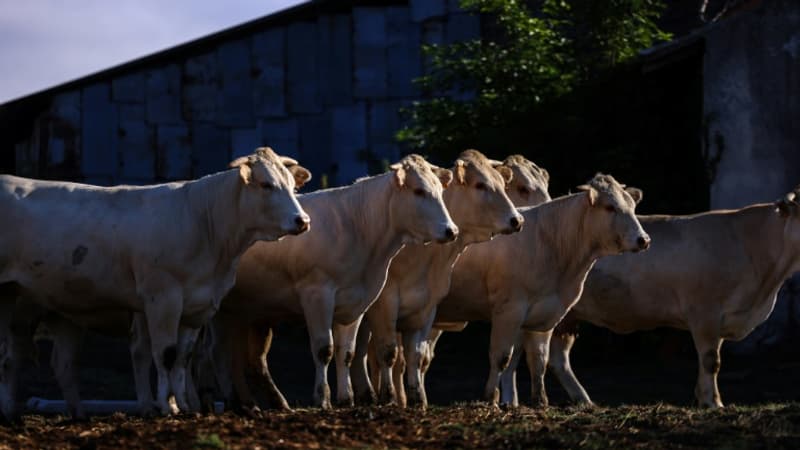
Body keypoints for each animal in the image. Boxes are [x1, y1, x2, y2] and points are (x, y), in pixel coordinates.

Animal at [0, 148, 310, 418]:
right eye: (266, 185)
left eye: (292, 186)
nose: (303, 220)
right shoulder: (163, 297)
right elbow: (165, 353)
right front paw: (165, 406)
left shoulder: (197, 307)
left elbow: (183, 357)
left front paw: (184, 406)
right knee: (12, 358)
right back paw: (9, 410)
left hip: (59, 308)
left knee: (51, 362)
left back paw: (71, 414)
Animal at [208, 156, 456, 412]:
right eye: (419, 191)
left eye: (439, 190)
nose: (451, 230)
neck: (359, 229)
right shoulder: (317, 295)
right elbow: (323, 349)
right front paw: (322, 398)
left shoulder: (356, 302)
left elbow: (346, 352)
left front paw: (346, 398)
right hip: (222, 310)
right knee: (220, 354)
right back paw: (233, 402)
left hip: (247, 312)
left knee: (240, 356)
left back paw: (258, 403)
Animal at [432, 175, 648, 404]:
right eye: (609, 207)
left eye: (632, 206)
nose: (644, 239)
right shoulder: (509, 310)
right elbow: (501, 357)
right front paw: (491, 398)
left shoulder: (545, 313)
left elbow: (539, 359)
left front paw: (540, 401)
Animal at [506, 186, 800, 408]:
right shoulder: (704, 312)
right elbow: (711, 361)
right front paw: (713, 402)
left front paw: (701, 398)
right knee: (527, 351)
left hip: (568, 317)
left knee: (558, 359)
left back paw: (584, 401)